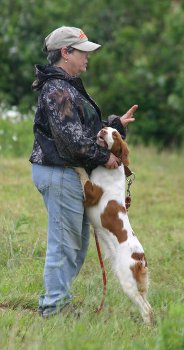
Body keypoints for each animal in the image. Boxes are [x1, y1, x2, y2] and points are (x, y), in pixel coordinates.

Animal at [75, 127, 153, 324]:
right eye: (106, 129)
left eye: (115, 134)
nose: (103, 130)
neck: (108, 167)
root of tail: (141, 257)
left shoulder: (91, 195)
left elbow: (83, 174)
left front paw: (74, 165)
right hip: (133, 282)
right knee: (148, 305)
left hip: (127, 281)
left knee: (147, 309)